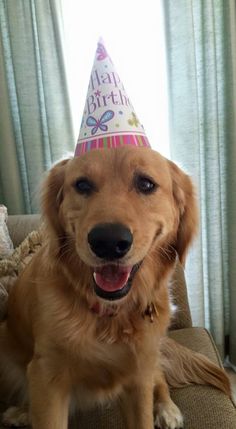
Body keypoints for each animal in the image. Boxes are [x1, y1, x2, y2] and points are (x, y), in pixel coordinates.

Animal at [0, 145, 230, 426]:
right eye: (82, 185)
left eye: (146, 184)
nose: (108, 242)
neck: (111, 315)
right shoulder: (46, 377)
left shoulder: (139, 375)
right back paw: (22, 412)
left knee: (160, 377)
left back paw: (167, 408)